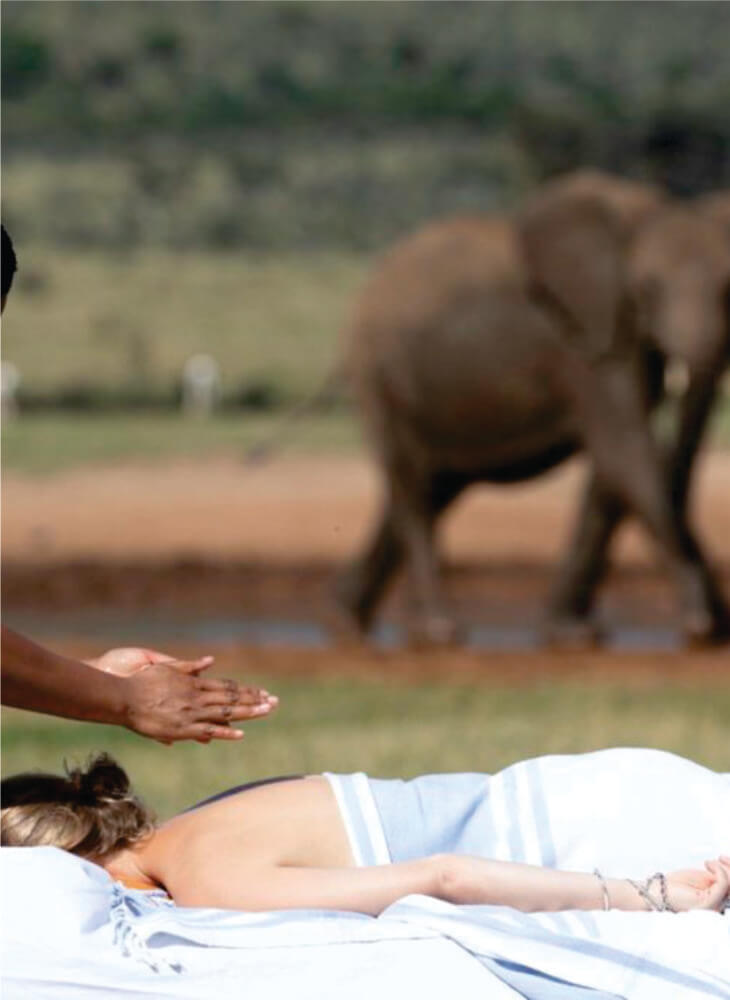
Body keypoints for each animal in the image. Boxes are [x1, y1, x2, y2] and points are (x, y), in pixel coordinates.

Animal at [336, 168, 728, 644]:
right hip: (379, 374)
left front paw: (570, 632)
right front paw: (701, 625)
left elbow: (611, 474)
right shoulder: (583, 338)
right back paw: (439, 629)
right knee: (411, 487)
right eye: (649, 290)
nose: (713, 619)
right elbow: (625, 452)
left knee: (430, 488)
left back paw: (350, 621)